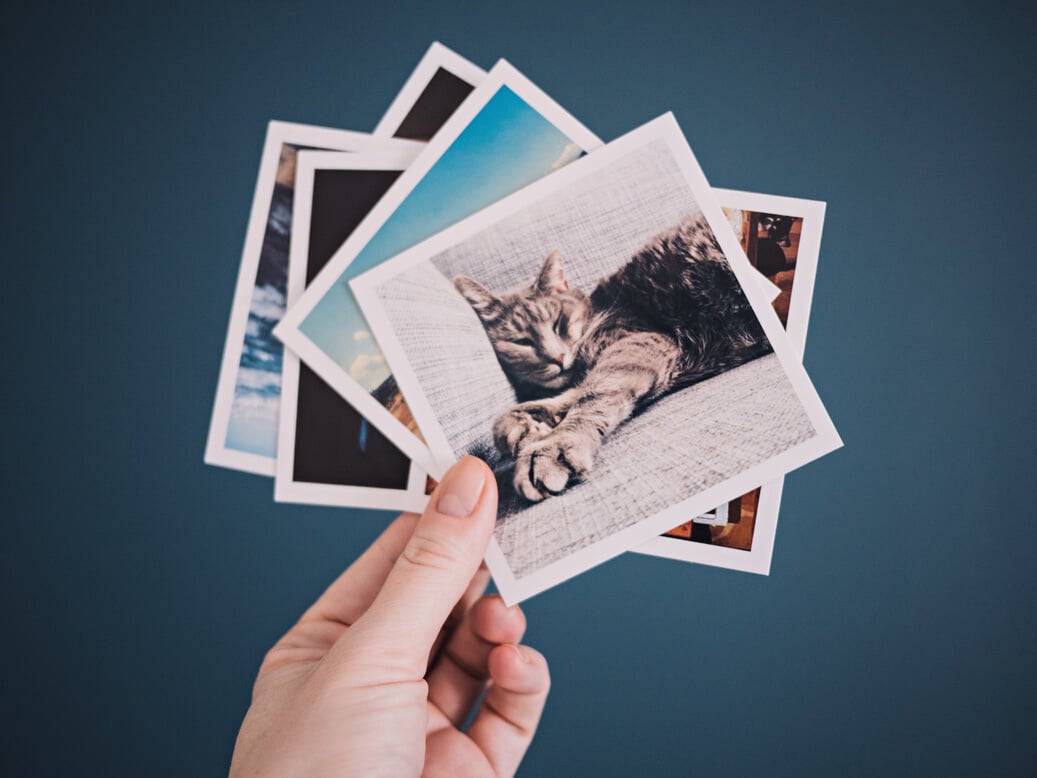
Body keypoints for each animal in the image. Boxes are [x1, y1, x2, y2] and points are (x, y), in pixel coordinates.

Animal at [454, 213, 771, 502]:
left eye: (558, 322)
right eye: (522, 342)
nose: (557, 357)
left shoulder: (641, 343)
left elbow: (593, 395)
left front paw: (553, 445)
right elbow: (571, 395)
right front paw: (524, 423)